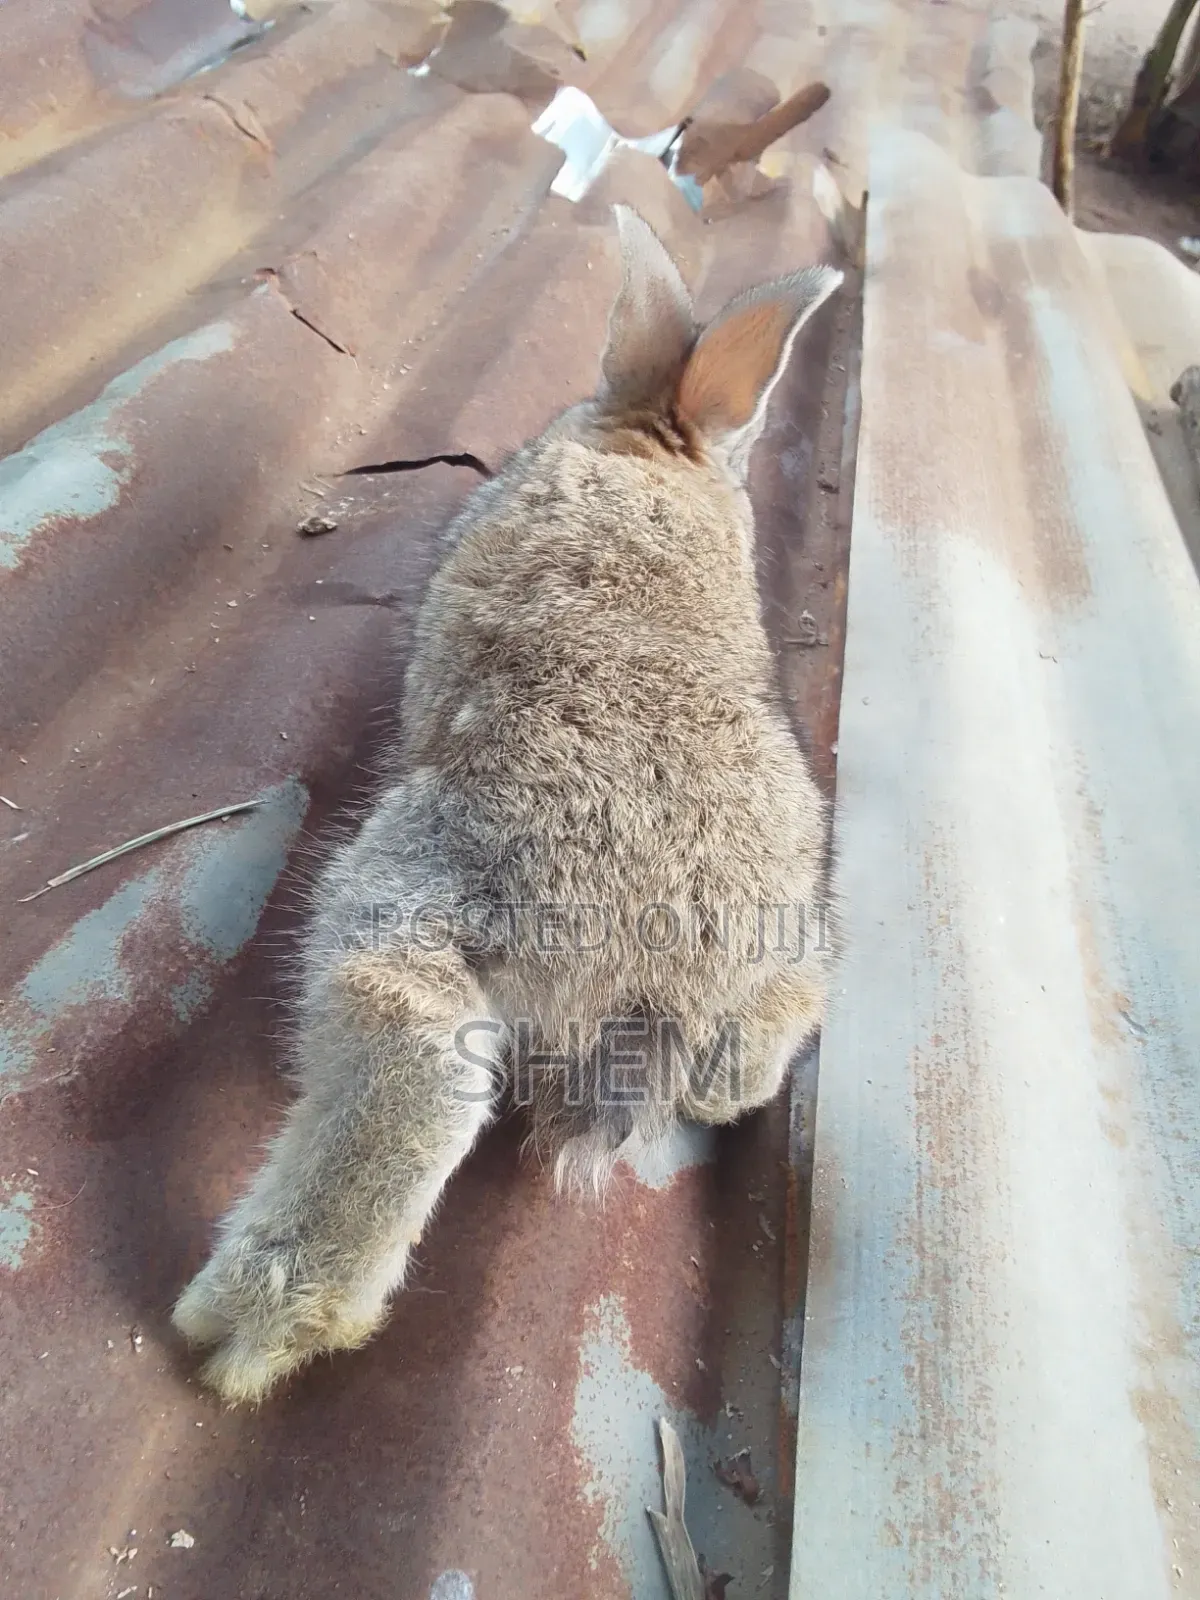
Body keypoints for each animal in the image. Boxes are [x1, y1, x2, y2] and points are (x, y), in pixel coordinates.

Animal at [172, 205, 842, 1405]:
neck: (649, 446)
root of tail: (658, 975)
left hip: (406, 894)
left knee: (417, 1056)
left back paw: (255, 1321)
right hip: (788, 948)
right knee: (751, 1061)